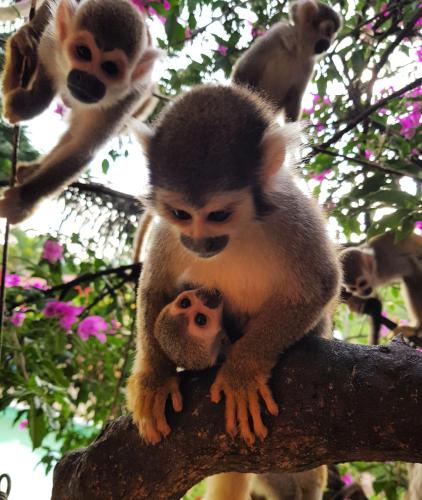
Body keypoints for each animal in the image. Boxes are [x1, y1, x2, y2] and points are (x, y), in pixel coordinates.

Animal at [0, 0, 158, 225]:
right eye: (83, 52)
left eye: (110, 68)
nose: (87, 80)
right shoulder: (52, 43)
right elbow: (45, 72)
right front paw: (30, 103)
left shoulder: (129, 96)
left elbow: (82, 147)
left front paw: (23, 201)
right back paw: (21, 43)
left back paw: (33, 170)